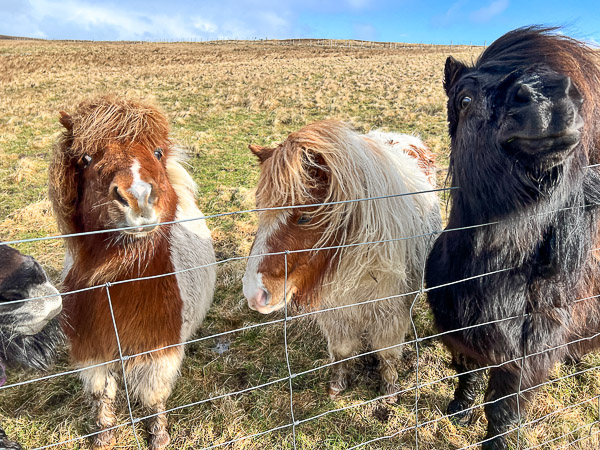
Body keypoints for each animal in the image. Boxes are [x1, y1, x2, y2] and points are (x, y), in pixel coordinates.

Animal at [48, 96, 216, 448]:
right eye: (85, 159)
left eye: (157, 153)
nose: (138, 198)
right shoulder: (93, 352)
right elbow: (102, 394)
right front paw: (104, 436)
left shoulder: (158, 353)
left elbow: (154, 397)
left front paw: (159, 436)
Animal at [241, 119, 442, 398]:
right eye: (259, 210)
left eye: (305, 217)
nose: (254, 294)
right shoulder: (336, 314)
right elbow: (342, 351)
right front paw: (337, 384)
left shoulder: (390, 313)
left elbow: (387, 353)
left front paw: (389, 387)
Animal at [424, 26, 600, 448]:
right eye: (465, 98)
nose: (550, 96)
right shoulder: (460, 332)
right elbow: (467, 375)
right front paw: (459, 413)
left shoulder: (525, 361)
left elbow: (503, 413)